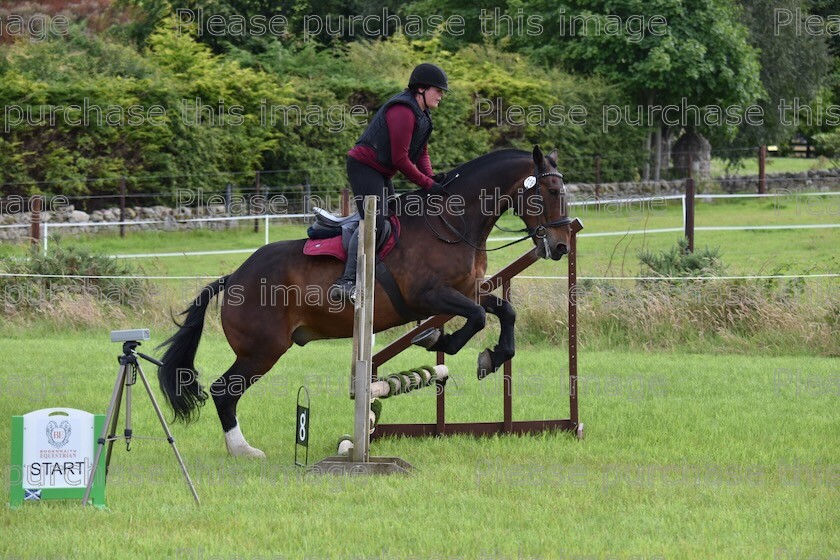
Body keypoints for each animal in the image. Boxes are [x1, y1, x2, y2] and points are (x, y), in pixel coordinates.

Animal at [158, 147, 572, 458]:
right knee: (223, 392)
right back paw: (242, 450)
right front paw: (441, 341)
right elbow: (476, 319)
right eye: (551, 192)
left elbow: (504, 312)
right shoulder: (429, 296)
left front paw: (492, 356)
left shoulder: (468, 290)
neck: (452, 224)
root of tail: (233, 278)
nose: (561, 247)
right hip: (262, 349)